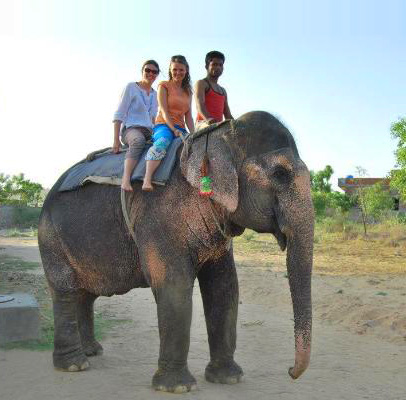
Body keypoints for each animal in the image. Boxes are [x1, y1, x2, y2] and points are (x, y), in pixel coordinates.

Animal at [38, 110, 314, 394]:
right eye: (280, 173)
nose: (290, 371)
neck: (217, 136)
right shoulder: (157, 215)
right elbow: (174, 285)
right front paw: (177, 388)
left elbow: (224, 286)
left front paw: (228, 379)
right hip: (51, 238)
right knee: (65, 290)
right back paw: (74, 365)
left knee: (84, 295)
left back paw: (92, 352)